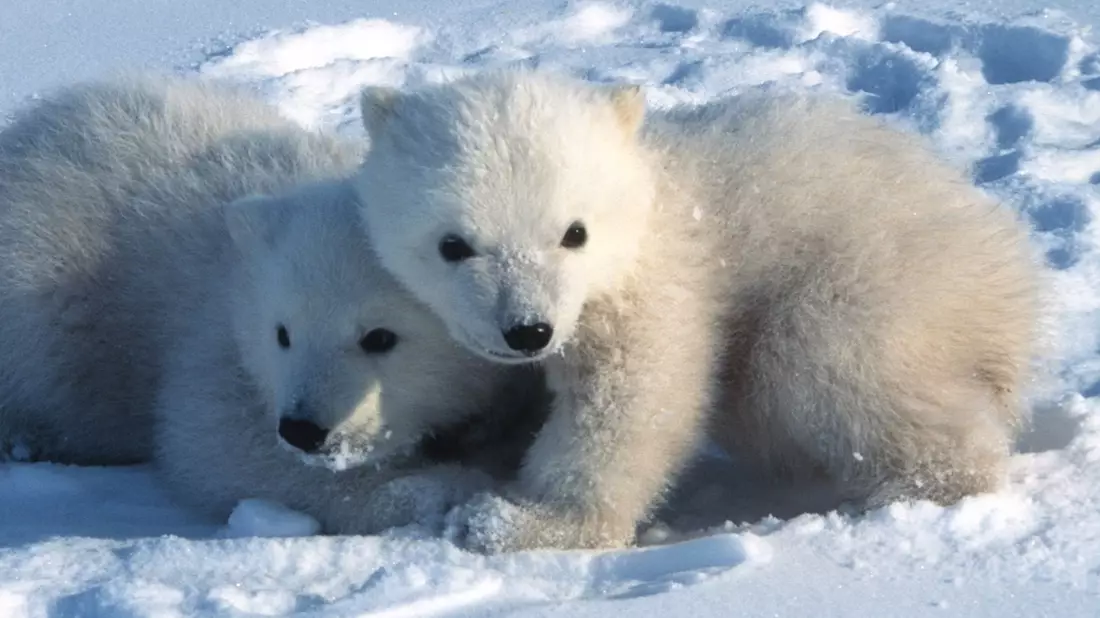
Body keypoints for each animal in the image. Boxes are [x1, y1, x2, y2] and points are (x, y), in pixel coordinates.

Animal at [0, 75, 541, 533]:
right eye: (282, 333)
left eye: (380, 337)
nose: (304, 429)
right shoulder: (218, 338)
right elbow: (214, 442)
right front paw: (440, 489)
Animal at [350, 68, 1043, 553]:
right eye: (453, 244)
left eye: (574, 232)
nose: (528, 331)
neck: (653, 195)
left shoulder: (654, 285)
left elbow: (632, 399)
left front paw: (515, 522)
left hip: (882, 281)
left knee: (819, 368)